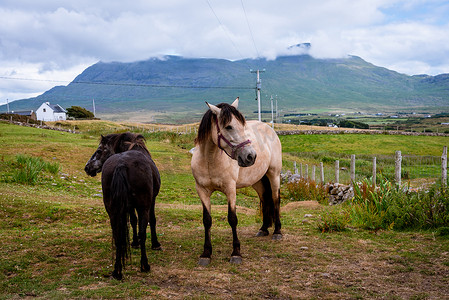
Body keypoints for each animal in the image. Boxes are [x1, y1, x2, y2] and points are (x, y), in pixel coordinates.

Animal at [84, 132, 161, 280]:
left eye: (99, 150)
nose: (87, 167)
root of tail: (121, 163)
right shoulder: (151, 200)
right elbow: (152, 221)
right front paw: (155, 244)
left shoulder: (128, 206)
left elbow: (133, 221)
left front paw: (134, 242)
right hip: (143, 207)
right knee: (143, 231)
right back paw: (145, 265)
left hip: (112, 210)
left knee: (117, 234)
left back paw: (117, 270)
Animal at [191, 98, 282, 264]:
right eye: (229, 126)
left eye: (242, 125)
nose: (251, 156)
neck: (209, 160)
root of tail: (268, 128)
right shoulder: (202, 191)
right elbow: (207, 220)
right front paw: (206, 253)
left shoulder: (230, 190)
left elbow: (232, 219)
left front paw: (236, 253)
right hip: (257, 180)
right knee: (265, 198)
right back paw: (264, 229)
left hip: (274, 175)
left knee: (275, 199)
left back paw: (277, 232)